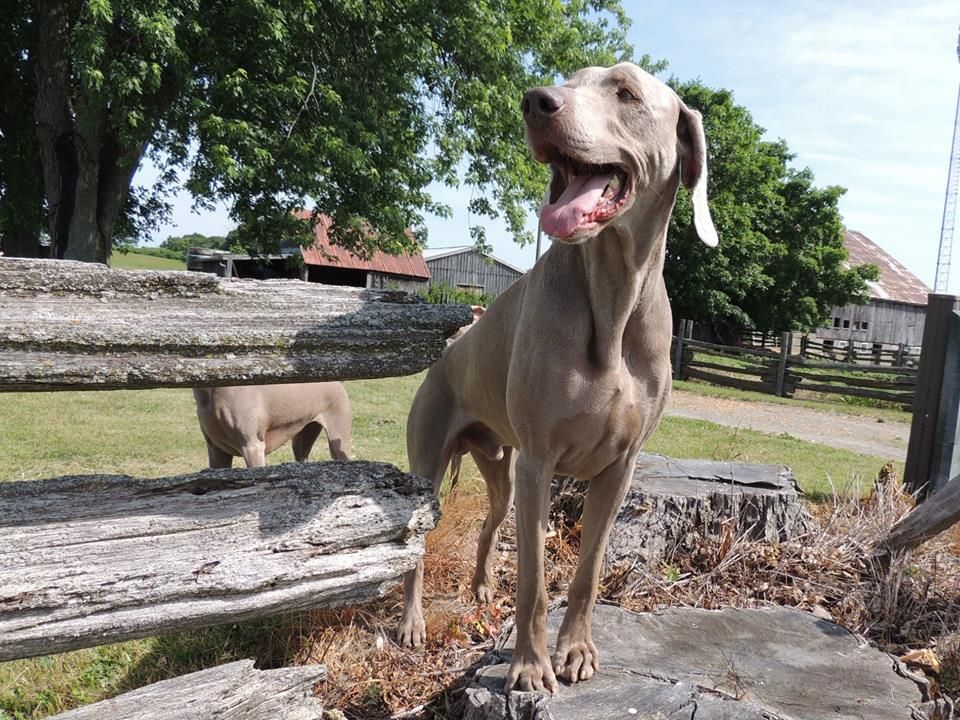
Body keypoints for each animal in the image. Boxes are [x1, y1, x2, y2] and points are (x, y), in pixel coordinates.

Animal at [399, 62, 717, 692]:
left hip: (499, 465)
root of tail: (447, 351)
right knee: (417, 551)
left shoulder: (620, 467)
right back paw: (412, 624)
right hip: (434, 460)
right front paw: (529, 666)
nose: (535, 101)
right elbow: (534, 578)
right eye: (569, 80)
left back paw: (480, 588)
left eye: (626, 91)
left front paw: (575, 651)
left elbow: (589, 568)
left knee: (490, 523)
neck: (614, 299)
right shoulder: (540, 461)